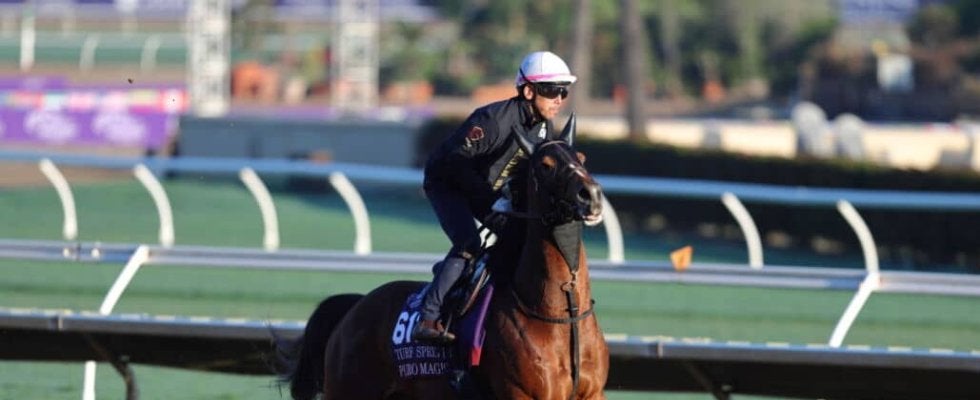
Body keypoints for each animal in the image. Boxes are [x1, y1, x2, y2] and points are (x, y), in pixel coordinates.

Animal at [279, 114, 609, 399]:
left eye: (581, 159)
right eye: (546, 164)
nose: (591, 195)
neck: (561, 313)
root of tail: (354, 308)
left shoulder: (593, 393)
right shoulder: (522, 394)